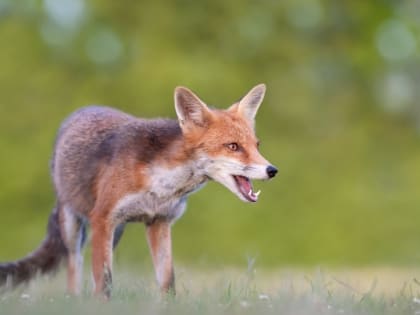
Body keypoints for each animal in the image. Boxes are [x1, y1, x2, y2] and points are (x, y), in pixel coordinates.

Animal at [0, 83, 278, 298]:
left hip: (114, 233)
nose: (272, 170)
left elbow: (167, 282)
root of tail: (83, 110)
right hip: (74, 226)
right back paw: (74, 300)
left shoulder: (159, 222)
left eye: (257, 145)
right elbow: (105, 284)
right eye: (233, 146)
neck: (161, 184)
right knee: (74, 266)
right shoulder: (103, 218)